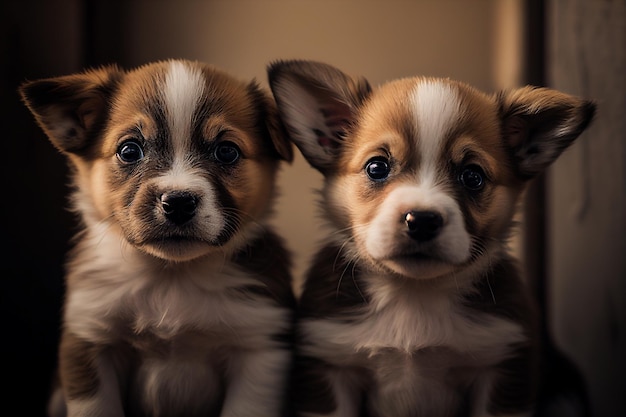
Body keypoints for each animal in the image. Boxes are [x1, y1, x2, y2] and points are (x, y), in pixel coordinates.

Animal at [22, 58, 294, 416]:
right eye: (129, 151)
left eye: (226, 152)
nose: (177, 202)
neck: (170, 277)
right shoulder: (89, 338)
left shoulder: (258, 348)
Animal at [266, 59, 592, 416]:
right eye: (376, 167)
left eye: (473, 176)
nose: (421, 221)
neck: (413, 295)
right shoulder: (330, 370)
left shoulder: (502, 373)